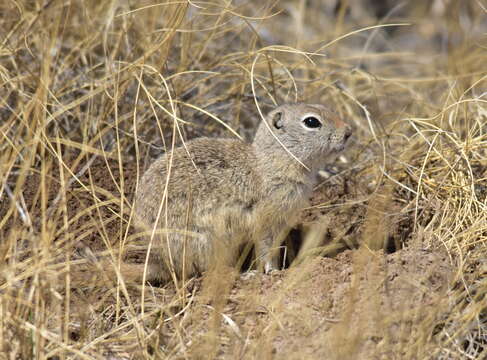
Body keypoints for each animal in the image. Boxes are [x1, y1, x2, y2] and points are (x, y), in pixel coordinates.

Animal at [134, 102, 350, 282]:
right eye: (311, 122)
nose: (348, 131)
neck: (277, 159)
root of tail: (157, 262)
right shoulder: (266, 220)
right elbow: (266, 249)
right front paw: (272, 272)